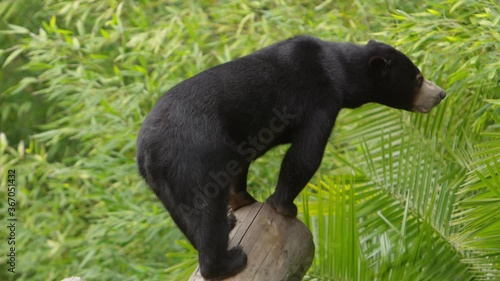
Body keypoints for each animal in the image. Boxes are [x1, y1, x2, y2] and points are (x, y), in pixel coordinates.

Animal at [136, 35, 446, 278]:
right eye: (418, 78)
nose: (441, 93)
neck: (341, 71)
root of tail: (147, 150)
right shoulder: (320, 99)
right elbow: (306, 154)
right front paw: (284, 207)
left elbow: (243, 163)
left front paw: (244, 201)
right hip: (195, 153)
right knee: (205, 207)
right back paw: (228, 261)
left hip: (163, 182)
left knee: (185, 215)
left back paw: (228, 224)